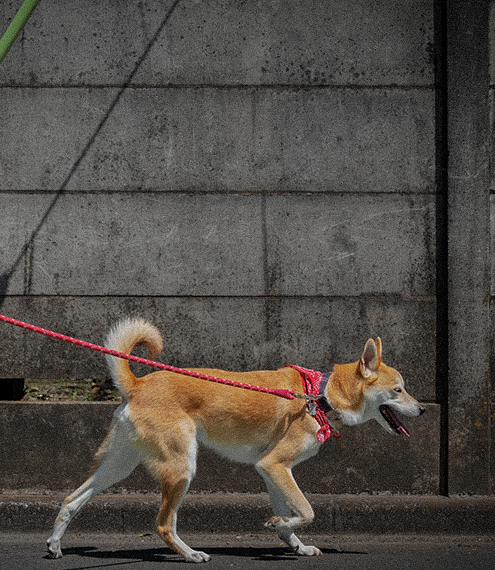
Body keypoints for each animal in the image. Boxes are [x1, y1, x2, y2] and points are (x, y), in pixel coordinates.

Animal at [47, 318, 426, 560]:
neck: (320, 396)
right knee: (163, 525)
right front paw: (280, 524)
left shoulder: (272, 470)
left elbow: (291, 516)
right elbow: (307, 510)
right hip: (182, 468)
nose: (423, 409)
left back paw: (54, 544)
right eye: (398, 390)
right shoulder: (275, 465)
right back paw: (191, 554)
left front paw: (294, 542)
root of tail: (138, 385)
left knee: (71, 499)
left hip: (119, 467)